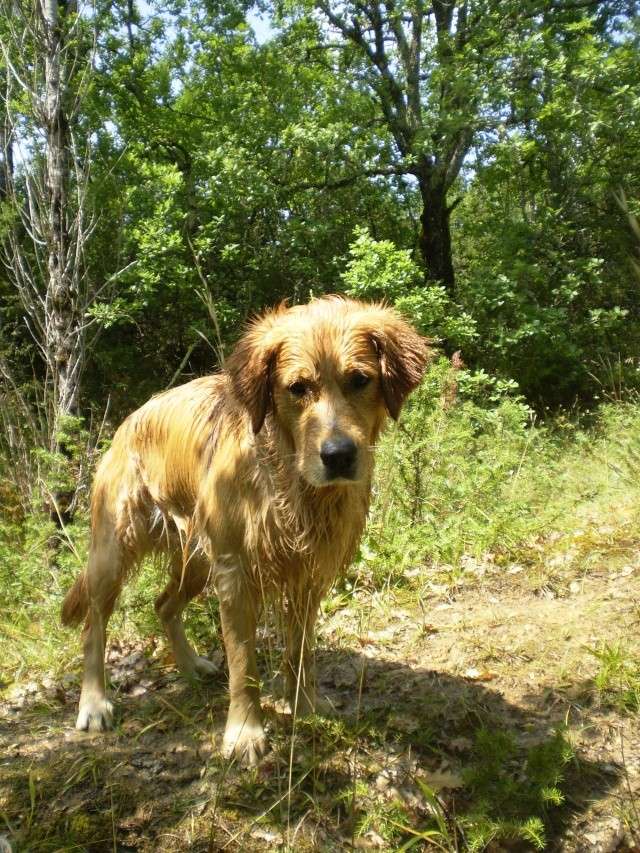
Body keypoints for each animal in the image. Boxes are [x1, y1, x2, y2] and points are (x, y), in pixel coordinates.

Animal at [61, 294, 430, 764]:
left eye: (360, 379)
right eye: (297, 388)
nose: (338, 455)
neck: (292, 484)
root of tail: (127, 421)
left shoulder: (308, 574)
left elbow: (300, 651)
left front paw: (305, 706)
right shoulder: (236, 572)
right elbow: (243, 662)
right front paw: (244, 733)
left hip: (198, 561)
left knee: (163, 604)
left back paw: (191, 665)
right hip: (115, 549)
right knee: (94, 623)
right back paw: (93, 703)